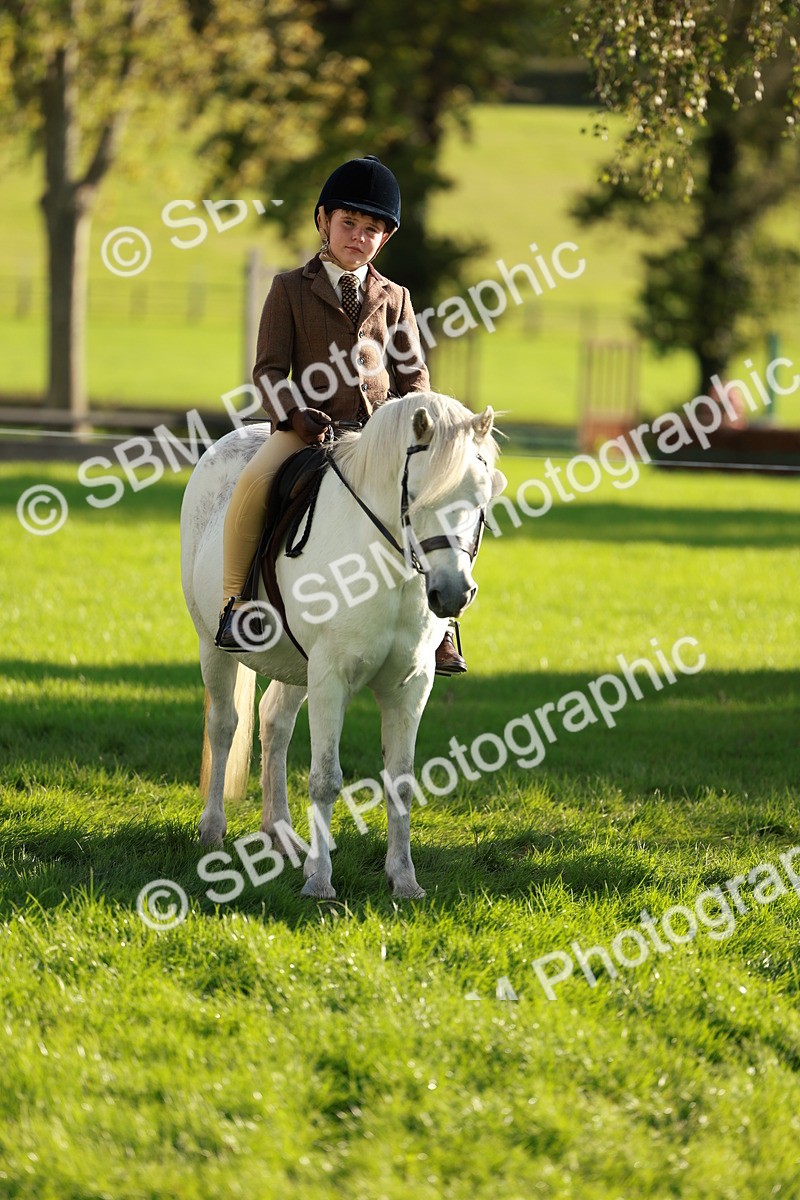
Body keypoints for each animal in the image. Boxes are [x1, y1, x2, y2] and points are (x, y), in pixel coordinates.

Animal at [180, 391, 506, 899]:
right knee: (224, 725)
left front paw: (404, 880)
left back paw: (280, 833)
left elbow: (401, 781)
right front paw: (319, 881)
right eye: (416, 495)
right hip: (214, 647)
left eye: (480, 497)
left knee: (275, 724)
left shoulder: (411, 685)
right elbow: (325, 779)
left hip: (297, 665)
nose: (452, 593)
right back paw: (213, 830)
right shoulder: (331, 676)